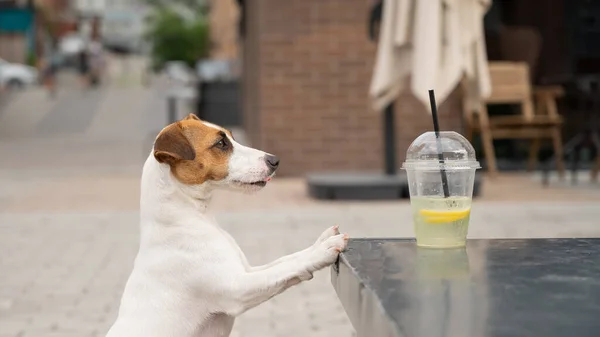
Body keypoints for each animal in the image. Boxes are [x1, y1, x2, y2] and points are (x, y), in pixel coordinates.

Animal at [106, 113, 350, 336]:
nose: (275, 160)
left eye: (232, 138)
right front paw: (323, 251)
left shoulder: (247, 270)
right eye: (221, 143)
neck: (194, 219)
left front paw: (320, 242)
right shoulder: (237, 287)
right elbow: (286, 268)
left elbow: (286, 260)